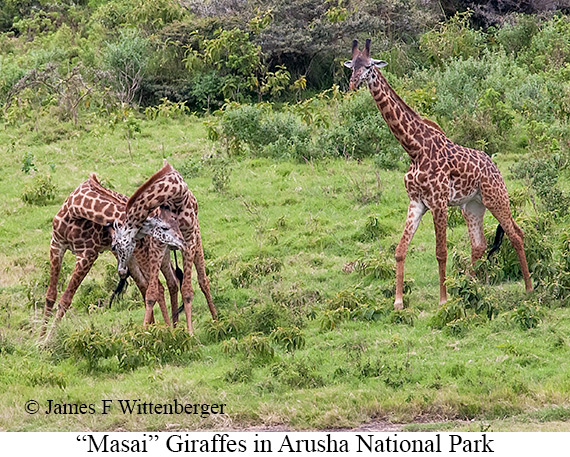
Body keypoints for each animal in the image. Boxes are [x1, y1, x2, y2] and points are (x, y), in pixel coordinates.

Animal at [110, 160, 216, 332]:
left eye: (114, 246)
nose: (121, 271)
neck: (176, 194)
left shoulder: (189, 240)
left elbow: (187, 291)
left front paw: (190, 333)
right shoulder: (158, 246)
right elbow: (151, 293)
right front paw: (145, 332)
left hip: (197, 241)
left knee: (203, 280)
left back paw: (216, 319)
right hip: (166, 254)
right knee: (172, 283)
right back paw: (174, 327)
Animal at [342, 40, 532, 310]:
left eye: (369, 67)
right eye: (352, 66)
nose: (353, 83)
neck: (414, 149)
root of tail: (495, 167)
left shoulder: (438, 202)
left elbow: (441, 252)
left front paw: (443, 300)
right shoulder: (416, 202)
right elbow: (400, 250)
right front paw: (398, 302)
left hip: (496, 197)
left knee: (516, 234)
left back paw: (528, 288)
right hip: (472, 206)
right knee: (479, 245)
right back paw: (469, 288)